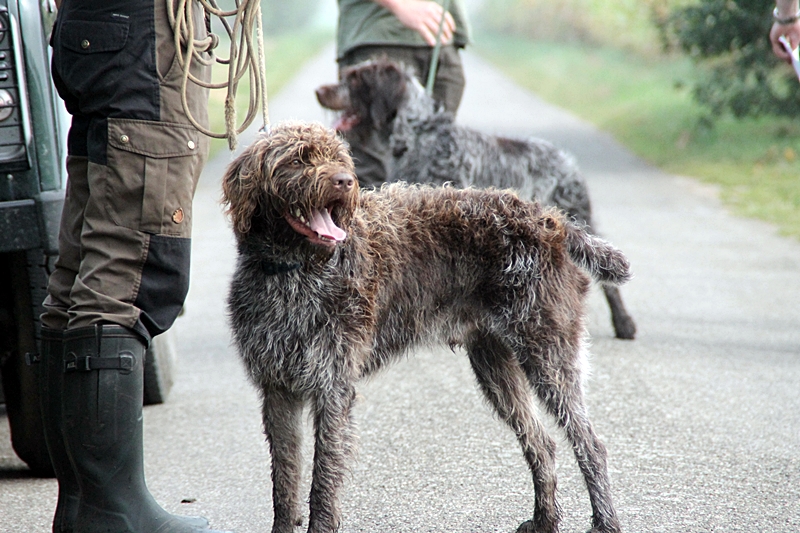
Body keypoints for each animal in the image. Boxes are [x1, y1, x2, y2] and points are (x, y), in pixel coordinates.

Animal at [222, 120, 628, 532]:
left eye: (338, 158)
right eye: (297, 159)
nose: (345, 181)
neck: (293, 271)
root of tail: (551, 220)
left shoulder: (332, 388)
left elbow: (323, 478)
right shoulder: (278, 390)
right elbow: (285, 480)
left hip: (548, 357)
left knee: (590, 445)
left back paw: (605, 522)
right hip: (496, 365)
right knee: (542, 443)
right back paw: (544, 520)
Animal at [316, 57, 636, 336]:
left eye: (355, 80)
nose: (319, 91)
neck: (418, 136)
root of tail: (566, 160)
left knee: (609, 281)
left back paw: (623, 324)